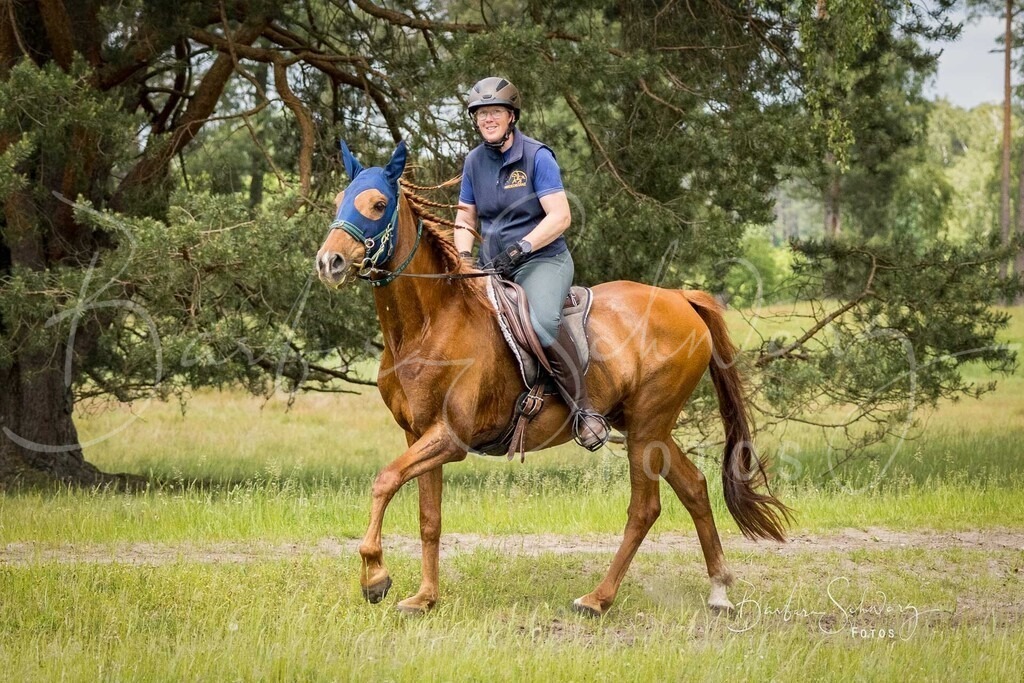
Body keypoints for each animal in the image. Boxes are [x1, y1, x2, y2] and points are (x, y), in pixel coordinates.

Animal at [315, 140, 790, 617]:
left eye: (378, 205)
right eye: (339, 200)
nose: (328, 262)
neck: (428, 326)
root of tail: (680, 298)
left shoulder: (450, 437)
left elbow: (384, 480)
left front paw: (375, 576)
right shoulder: (418, 434)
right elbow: (428, 517)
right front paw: (425, 597)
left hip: (646, 428)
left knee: (645, 508)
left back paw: (598, 598)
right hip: (647, 426)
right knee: (693, 487)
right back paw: (719, 589)